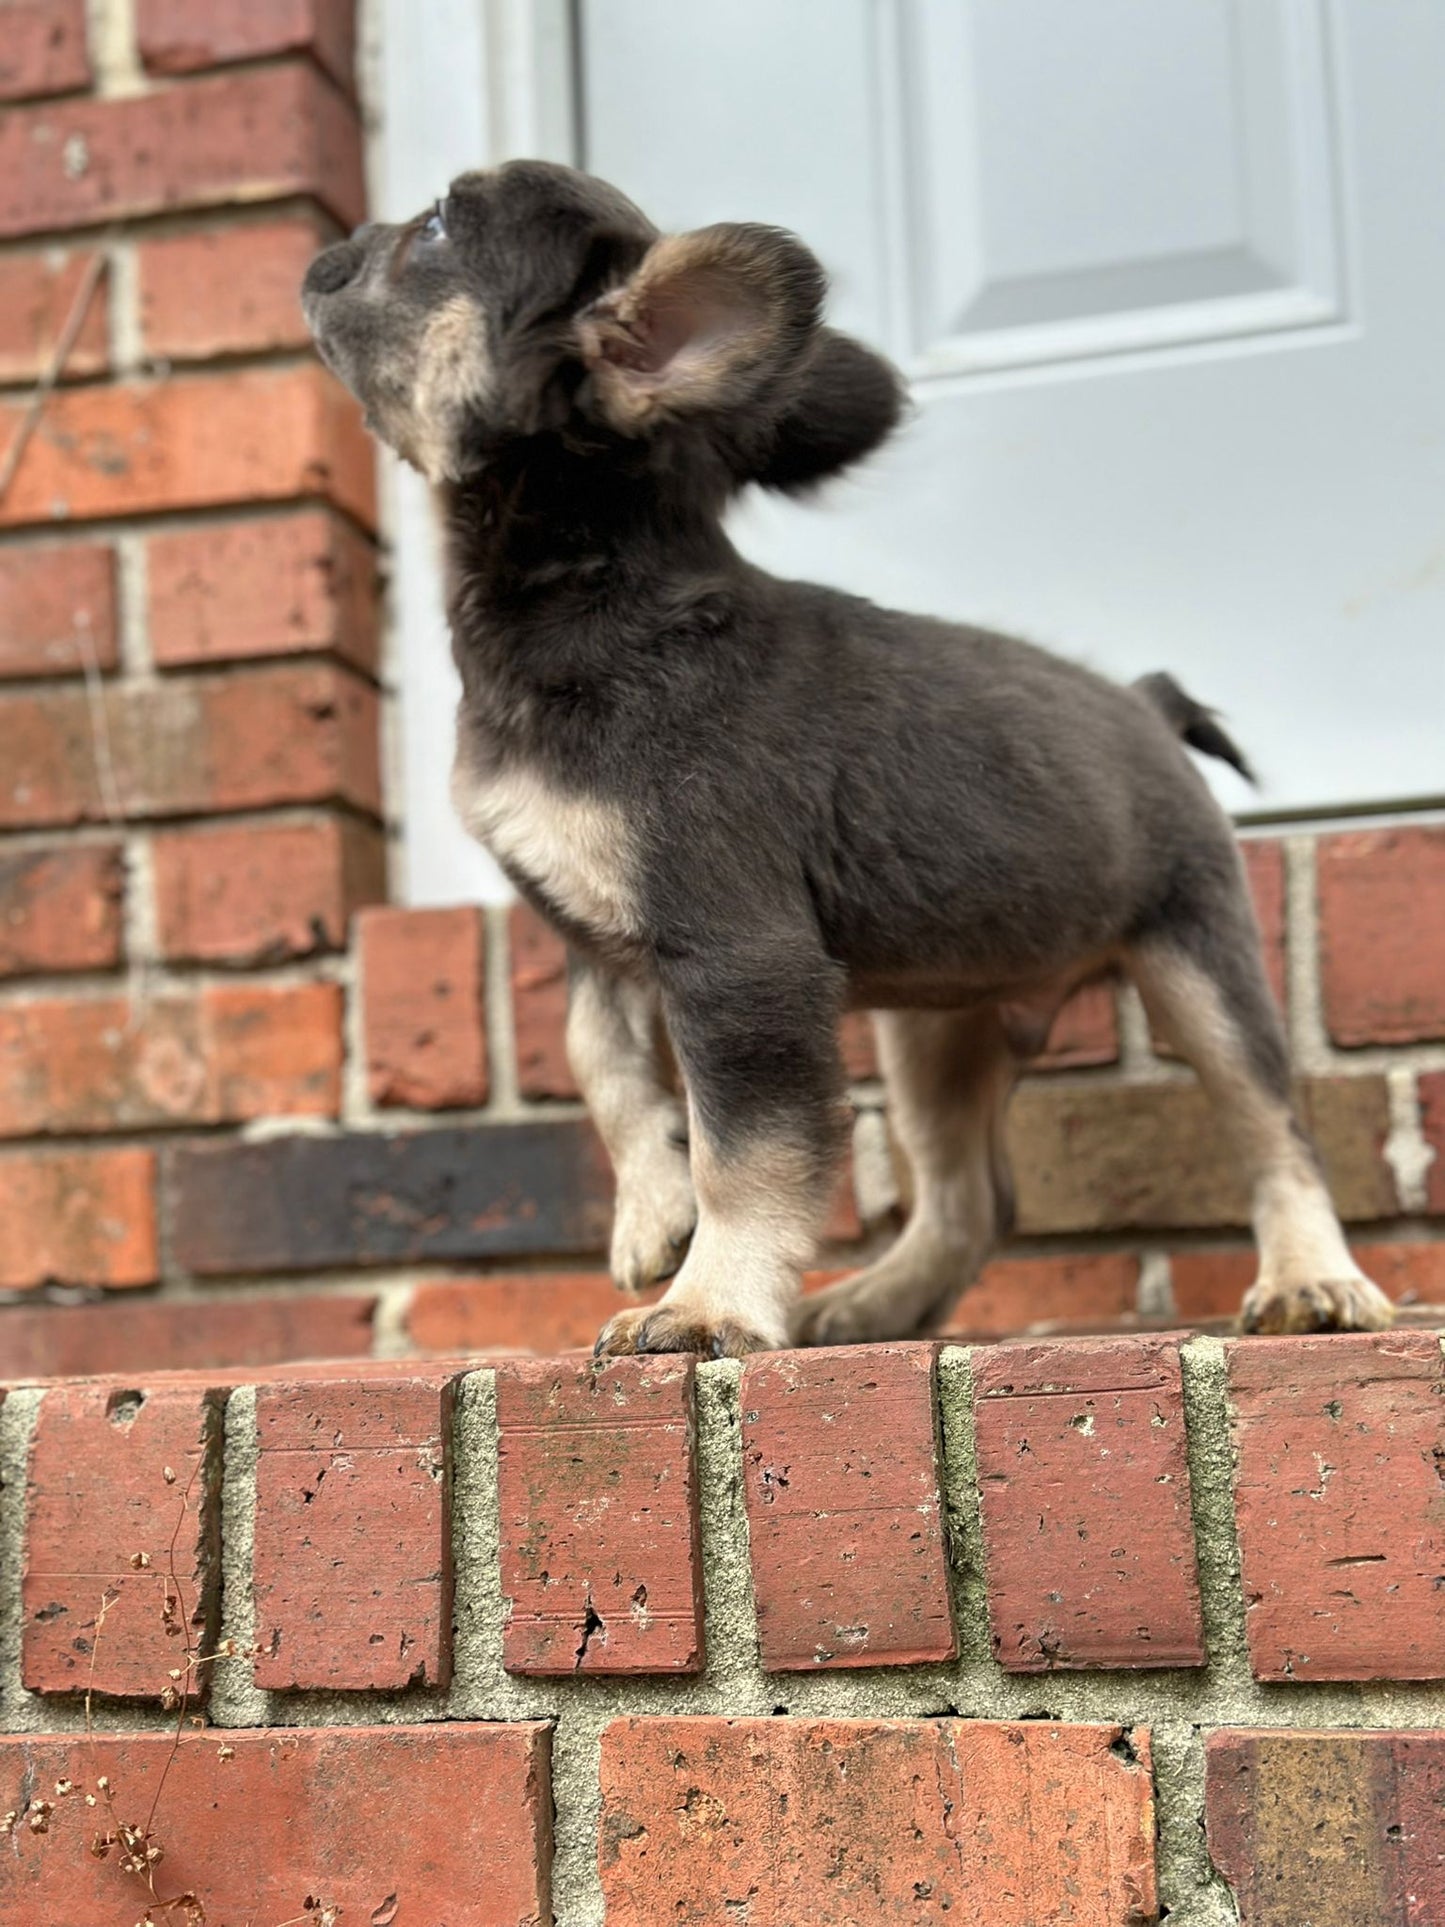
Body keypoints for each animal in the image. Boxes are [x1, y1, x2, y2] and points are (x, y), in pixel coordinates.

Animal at [300, 161, 1394, 1356]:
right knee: (970, 1198)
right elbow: (602, 1064)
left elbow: (746, 1149)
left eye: (436, 230)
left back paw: (1311, 1280)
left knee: (1274, 1130)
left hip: (1199, 963)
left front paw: (706, 1303)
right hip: (936, 1025)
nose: (323, 255)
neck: (590, 592)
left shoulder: (738, 957)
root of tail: (1144, 704)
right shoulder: (597, 940)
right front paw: (653, 1214)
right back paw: (877, 1303)